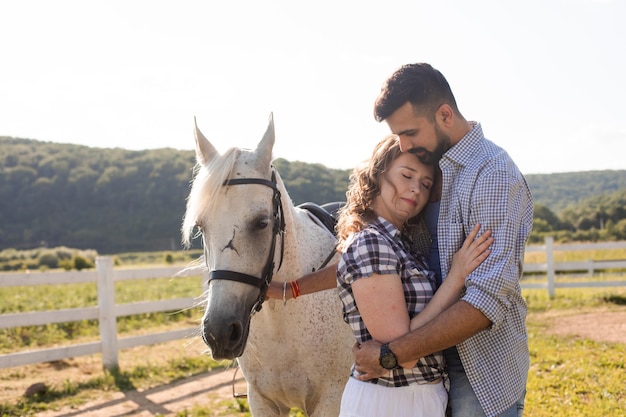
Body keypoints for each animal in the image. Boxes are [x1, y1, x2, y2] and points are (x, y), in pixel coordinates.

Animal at [183, 114, 354, 416]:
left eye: (262, 222)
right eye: (202, 227)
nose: (219, 332)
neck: (281, 320)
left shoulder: (330, 401)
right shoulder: (262, 401)